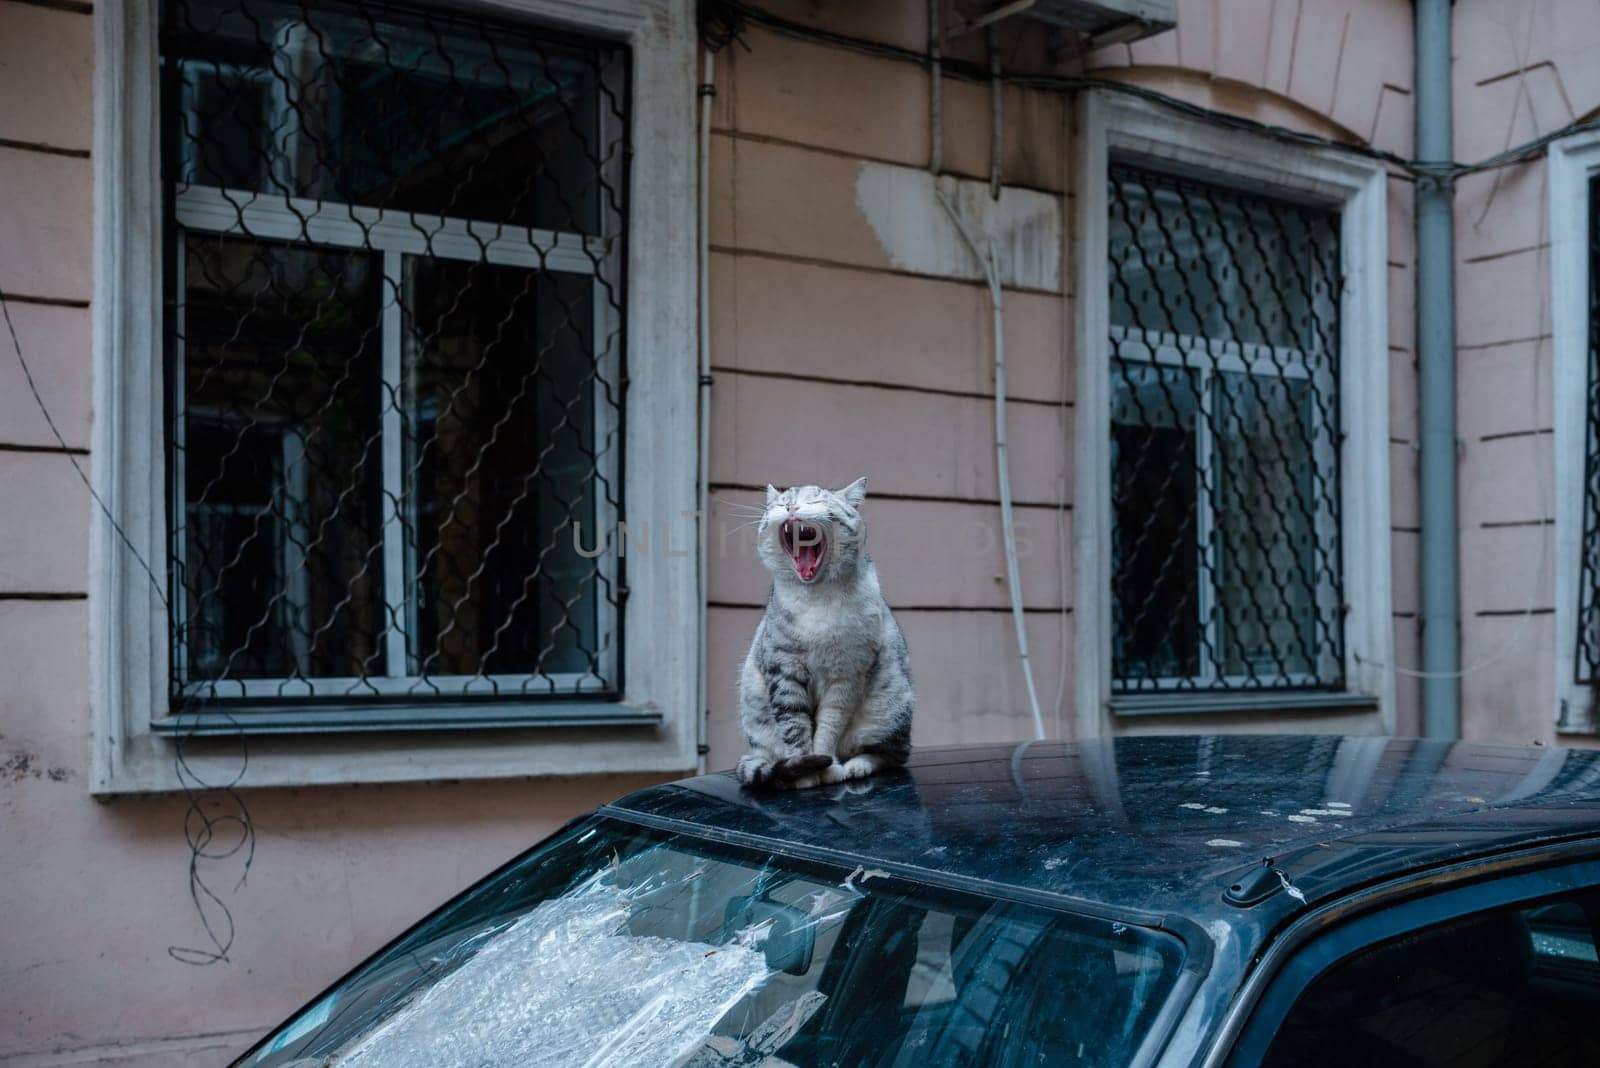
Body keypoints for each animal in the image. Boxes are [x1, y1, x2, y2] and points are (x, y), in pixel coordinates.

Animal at [736, 479, 915, 789]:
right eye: (781, 503)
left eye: (815, 500)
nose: (791, 507)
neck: (816, 598)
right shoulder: (783, 671)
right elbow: (794, 728)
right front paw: (806, 774)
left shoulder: (848, 674)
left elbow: (829, 725)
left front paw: (828, 768)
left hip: (891, 708)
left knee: (891, 754)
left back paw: (856, 765)